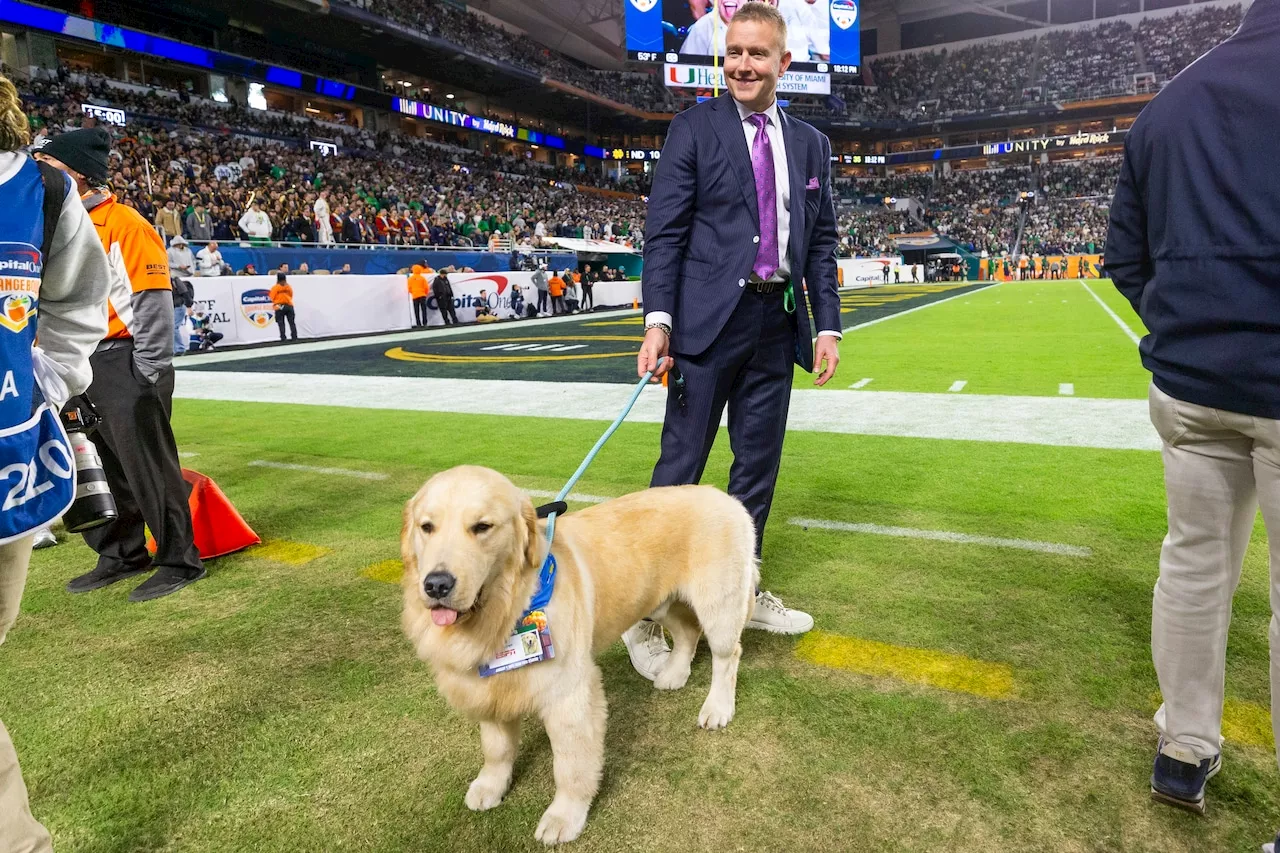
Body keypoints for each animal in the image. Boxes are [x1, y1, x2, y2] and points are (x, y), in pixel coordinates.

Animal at [404, 466, 752, 845]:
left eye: (482, 527)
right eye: (427, 527)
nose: (436, 585)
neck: (505, 611)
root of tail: (725, 497)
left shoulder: (570, 695)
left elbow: (570, 766)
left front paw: (564, 816)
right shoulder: (489, 687)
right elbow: (496, 748)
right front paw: (490, 785)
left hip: (718, 605)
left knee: (728, 654)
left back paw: (717, 708)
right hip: (656, 601)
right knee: (688, 631)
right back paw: (674, 675)